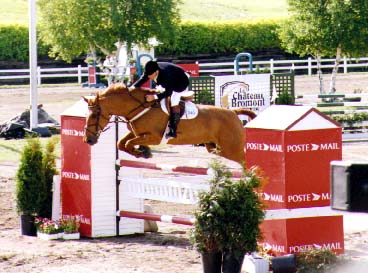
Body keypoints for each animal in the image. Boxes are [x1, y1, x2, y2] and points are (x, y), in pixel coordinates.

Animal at [83, 83, 256, 164]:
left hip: (231, 149)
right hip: (215, 148)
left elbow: (128, 143)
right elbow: (121, 143)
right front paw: (142, 152)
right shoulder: (137, 132)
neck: (139, 106)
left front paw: (143, 152)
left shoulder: (154, 137)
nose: (88, 140)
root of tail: (233, 113)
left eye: (94, 115)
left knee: (246, 161)